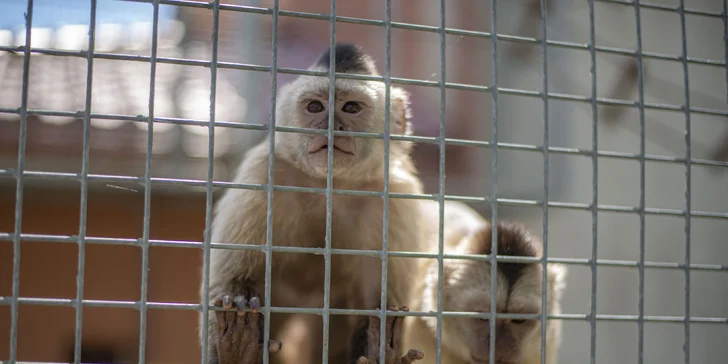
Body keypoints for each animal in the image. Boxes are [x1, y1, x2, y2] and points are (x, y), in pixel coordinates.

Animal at [199, 43, 426, 364]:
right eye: (315, 107)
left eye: (351, 108)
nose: (330, 125)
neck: (330, 184)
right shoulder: (263, 173)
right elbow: (228, 277)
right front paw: (235, 343)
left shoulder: (395, 196)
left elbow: (380, 297)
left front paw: (378, 348)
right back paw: (240, 349)